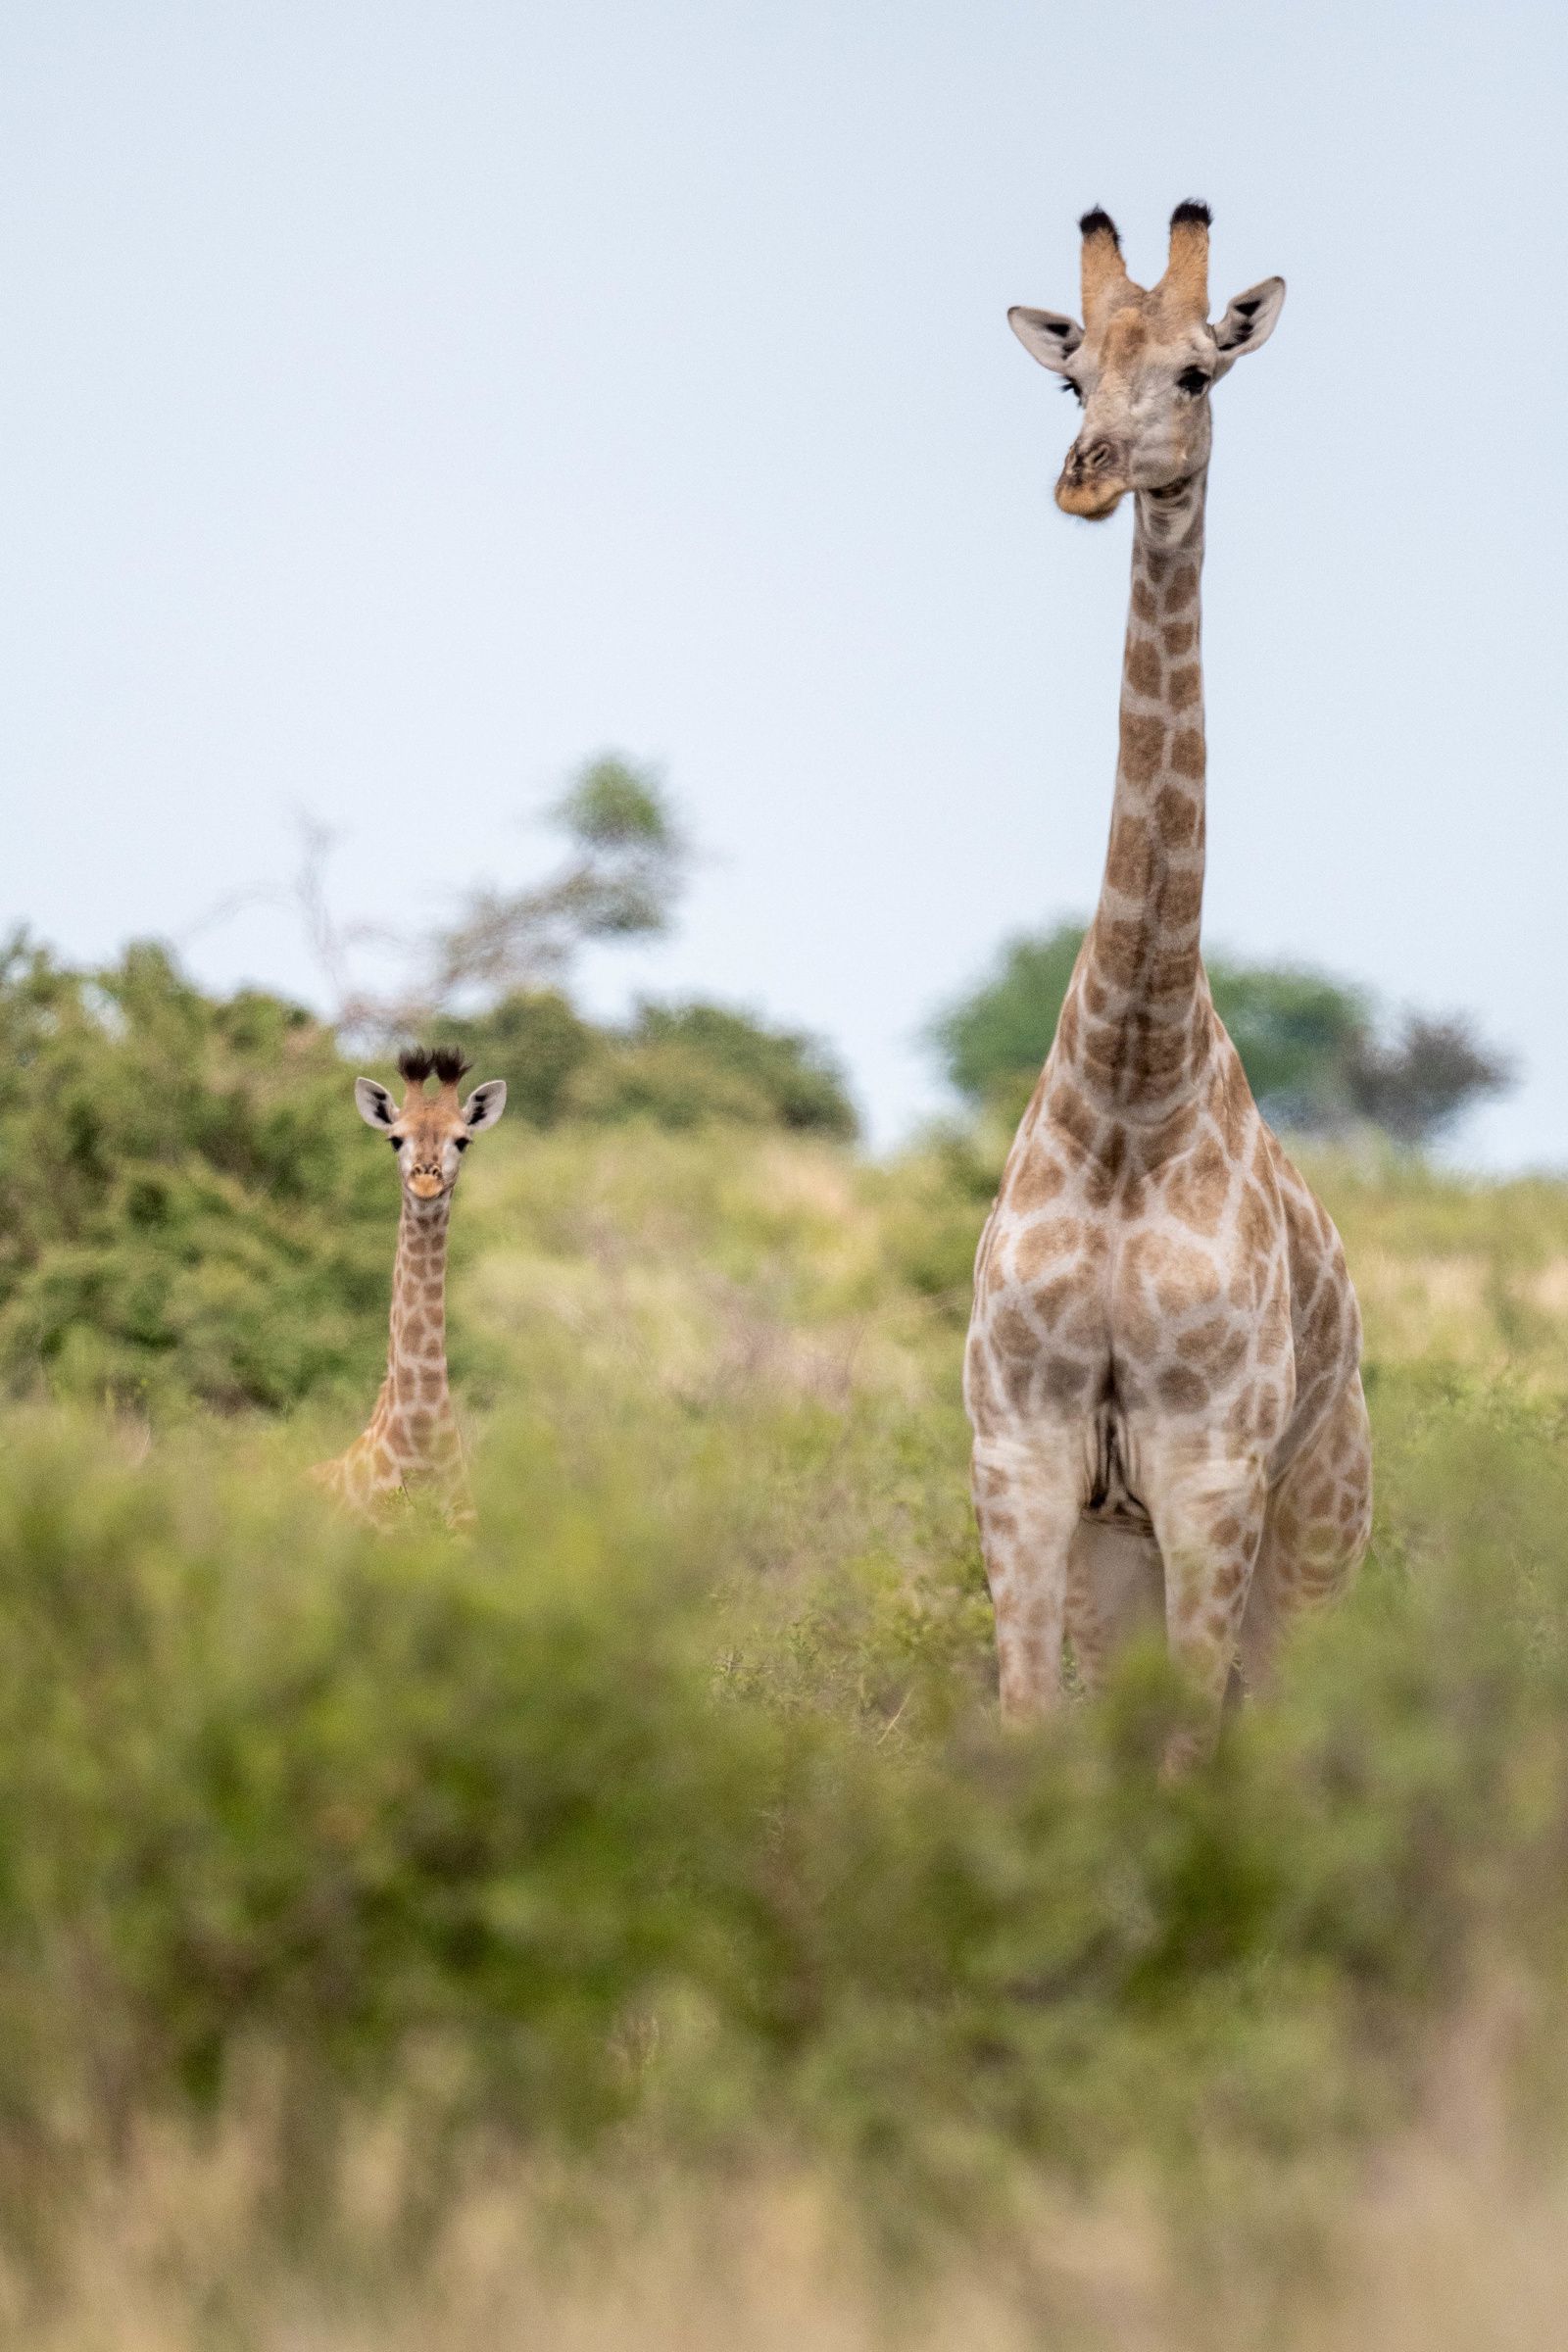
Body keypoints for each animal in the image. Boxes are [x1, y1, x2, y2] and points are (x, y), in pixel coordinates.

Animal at [965, 202, 1371, 1760]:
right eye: (1073, 380)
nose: (1085, 478)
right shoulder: (1022, 1457)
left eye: (1198, 372)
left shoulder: (1209, 1474)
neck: (1133, 1081)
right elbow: (1036, 1737)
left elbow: (1195, 1760)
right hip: (1118, 1557)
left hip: (1320, 1529)